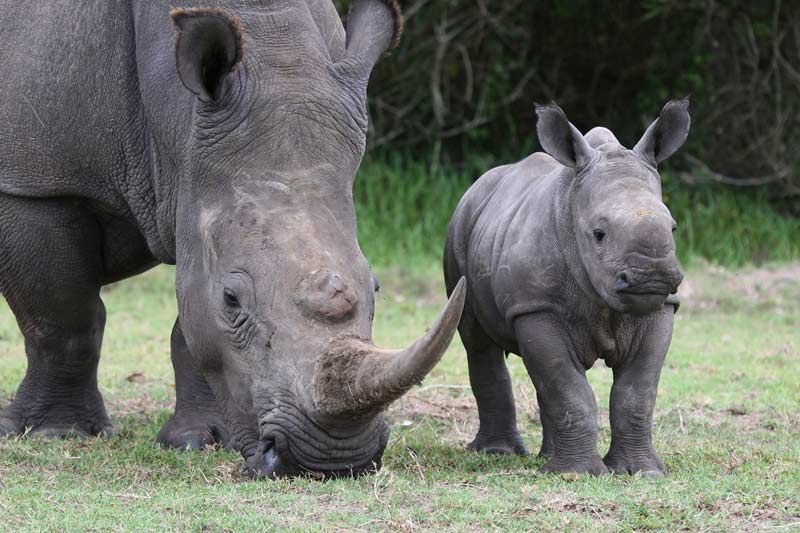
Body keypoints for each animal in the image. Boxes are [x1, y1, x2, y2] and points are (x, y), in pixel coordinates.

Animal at [0, 0, 466, 480]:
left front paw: (201, 440)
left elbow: (191, 322)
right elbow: (65, 319)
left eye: (375, 287)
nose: (332, 458)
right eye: (231, 298)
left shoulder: (195, 191)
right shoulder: (34, 186)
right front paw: (57, 434)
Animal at [444, 100, 688, 474]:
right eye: (598, 234)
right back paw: (498, 453)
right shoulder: (536, 306)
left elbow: (637, 392)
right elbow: (568, 387)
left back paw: (546, 459)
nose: (652, 278)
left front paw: (642, 472)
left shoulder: (661, 306)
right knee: (479, 343)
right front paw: (579, 474)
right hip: (460, 226)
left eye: (673, 228)